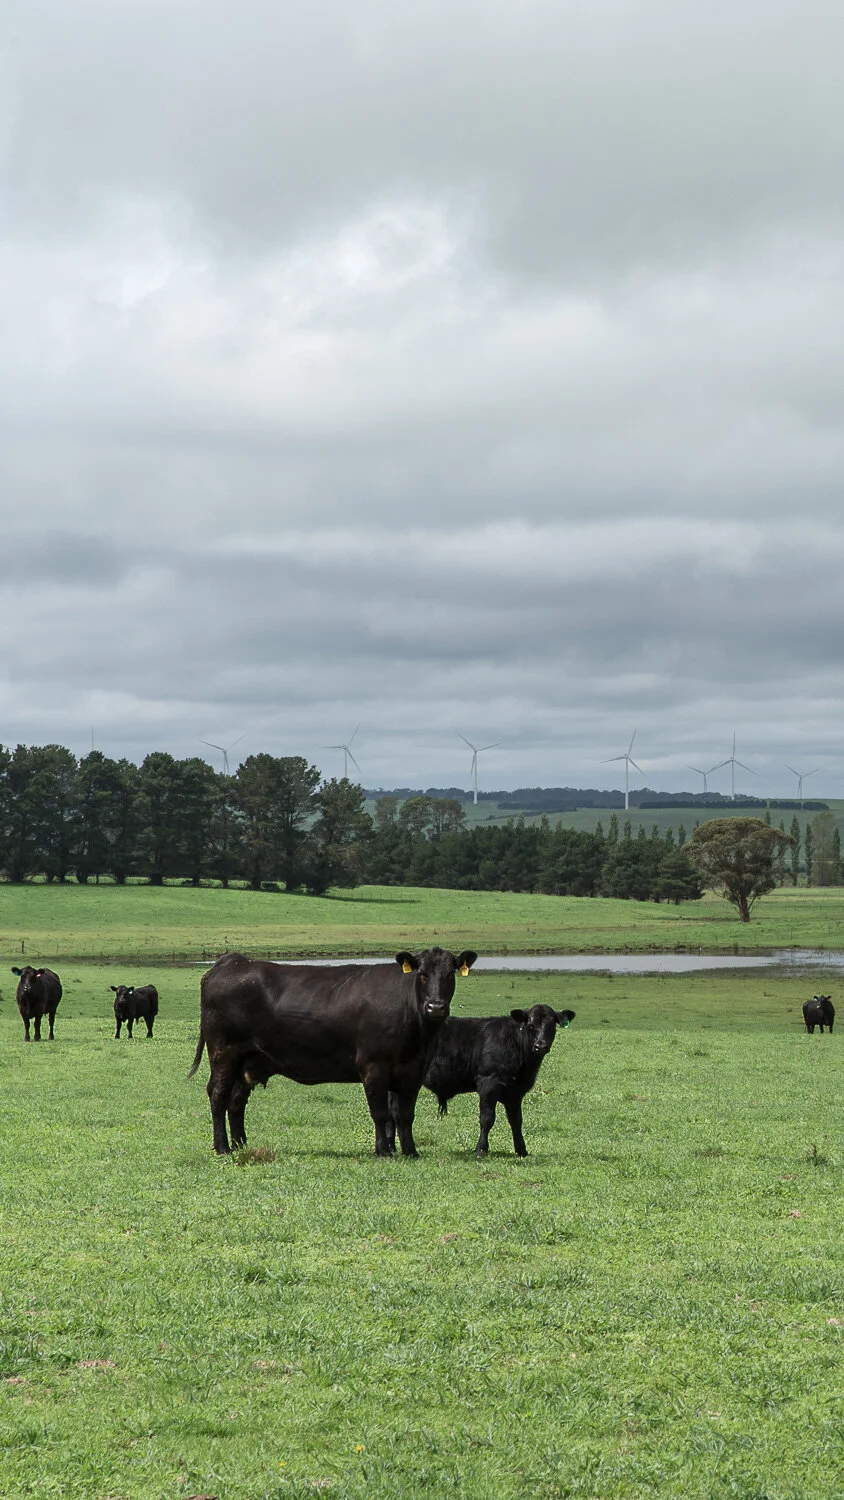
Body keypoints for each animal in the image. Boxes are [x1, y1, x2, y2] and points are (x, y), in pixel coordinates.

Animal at [188, 946, 478, 1157]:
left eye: (450, 974)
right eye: (422, 974)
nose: (435, 1006)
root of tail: (233, 961)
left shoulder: (413, 1071)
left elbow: (404, 1114)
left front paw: (410, 1151)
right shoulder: (373, 1066)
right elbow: (380, 1112)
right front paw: (383, 1151)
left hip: (247, 1061)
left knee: (236, 1101)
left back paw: (240, 1145)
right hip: (224, 1054)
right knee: (218, 1095)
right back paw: (223, 1148)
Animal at [421, 1004, 576, 1157]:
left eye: (552, 1025)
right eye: (530, 1025)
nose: (541, 1046)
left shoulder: (516, 1092)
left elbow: (516, 1120)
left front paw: (522, 1150)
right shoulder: (489, 1084)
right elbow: (487, 1119)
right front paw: (481, 1149)